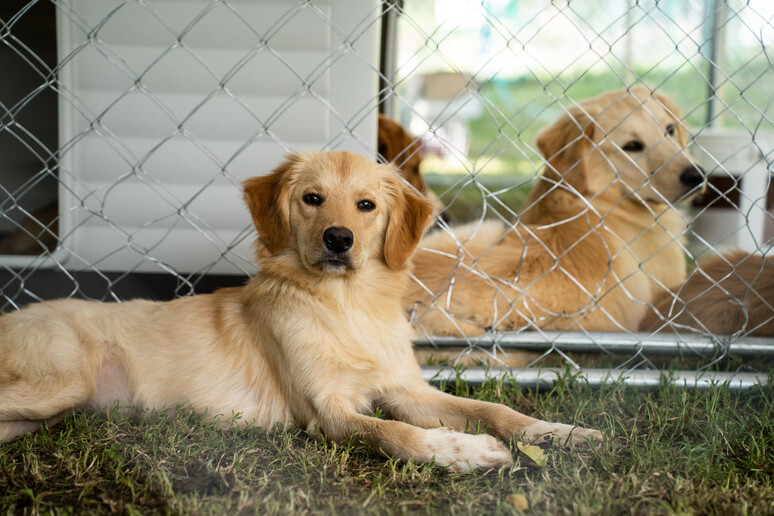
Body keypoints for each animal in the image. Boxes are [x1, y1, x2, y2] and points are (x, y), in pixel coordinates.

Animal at [0, 150, 604, 472]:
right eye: (311, 198)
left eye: (366, 205)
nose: (339, 239)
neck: (345, 307)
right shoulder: (327, 412)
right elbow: (394, 435)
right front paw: (462, 451)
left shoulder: (407, 389)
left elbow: (495, 410)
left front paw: (557, 431)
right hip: (61, 382)